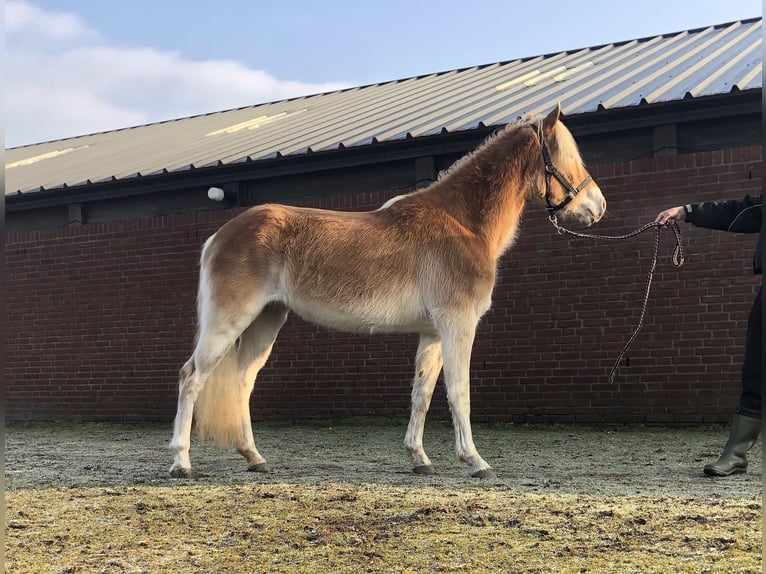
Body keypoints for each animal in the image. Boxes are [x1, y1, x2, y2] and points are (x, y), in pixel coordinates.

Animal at [168, 104, 608, 482]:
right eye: (569, 157)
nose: (599, 206)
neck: (462, 223)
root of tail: (218, 237)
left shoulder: (432, 333)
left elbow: (422, 393)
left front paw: (419, 459)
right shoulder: (458, 325)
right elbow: (459, 392)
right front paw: (475, 461)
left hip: (265, 320)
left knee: (242, 382)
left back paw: (255, 458)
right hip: (229, 321)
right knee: (191, 377)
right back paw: (181, 463)